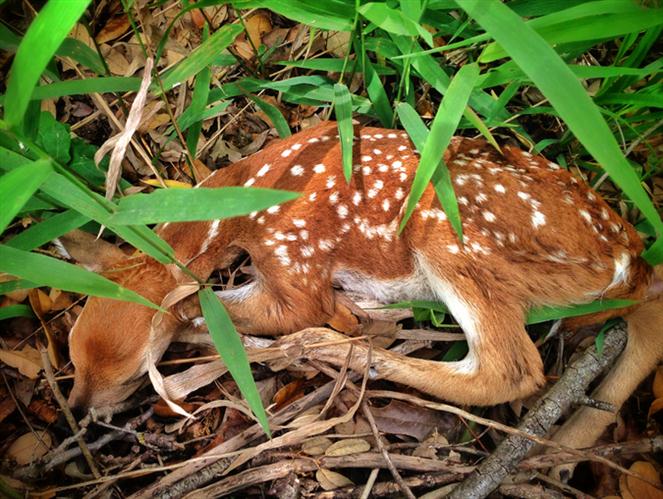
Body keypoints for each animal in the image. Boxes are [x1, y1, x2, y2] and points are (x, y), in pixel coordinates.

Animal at [65, 120, 663, 458]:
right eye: (71, 353)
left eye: (131, 374)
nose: (77, 408)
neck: (242, 200)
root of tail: (630, 257)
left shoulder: (297, 260)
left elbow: (217, 315)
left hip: (449, 232)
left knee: (508, 368)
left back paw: (337, 344)